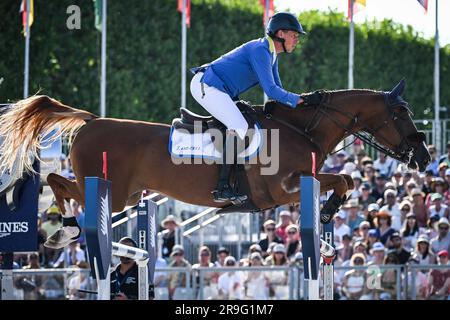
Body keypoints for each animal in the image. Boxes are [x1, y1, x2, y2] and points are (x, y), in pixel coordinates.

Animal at [0, 79, 430, 249]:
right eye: (402, 113)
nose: (424, 158)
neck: (300, 128)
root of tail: (92, 121)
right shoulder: (282, 188)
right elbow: (340, 180)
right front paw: (327, 210)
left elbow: (345, 181)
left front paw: (328, 212)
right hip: (115, 192)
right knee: (58, 182)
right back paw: (62, 228)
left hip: (128, 195)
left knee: (64, 184)